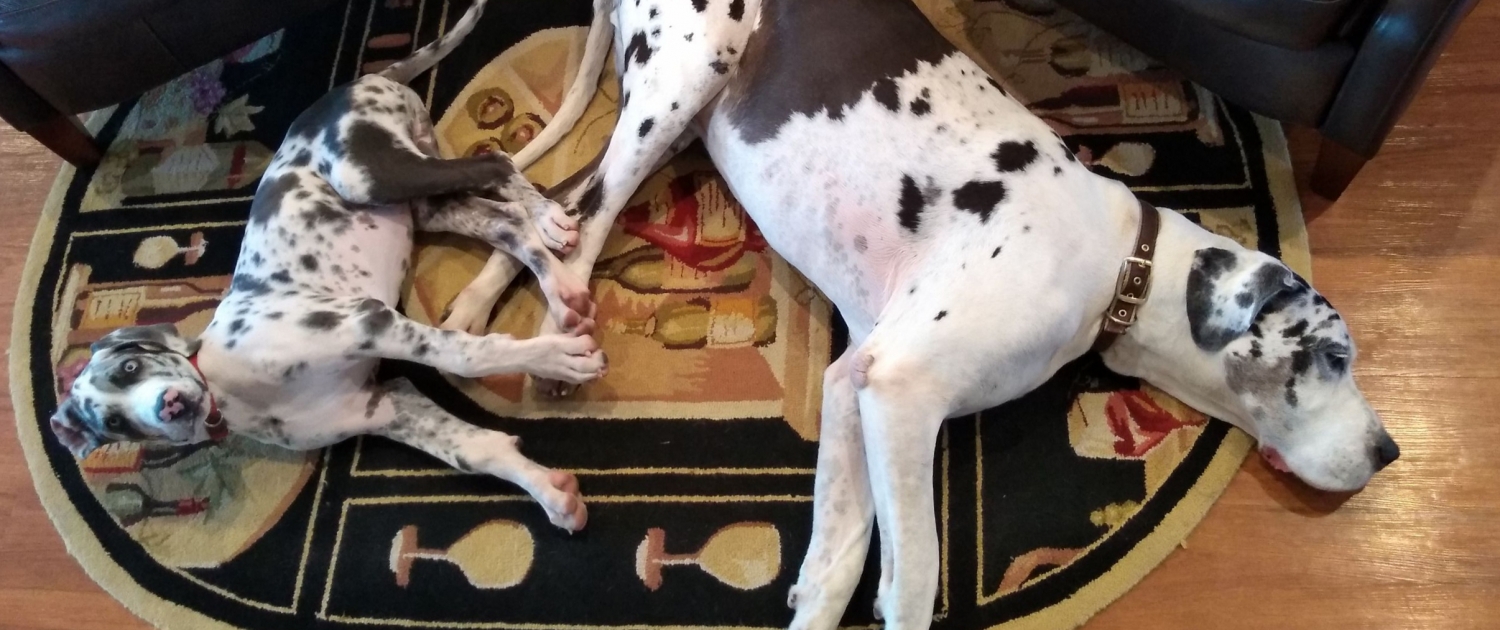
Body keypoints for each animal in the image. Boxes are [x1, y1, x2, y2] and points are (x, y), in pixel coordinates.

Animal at [51, 0, 603, 531]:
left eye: (129, 367)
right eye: (112, 424)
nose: (169, 404)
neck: (231, 384)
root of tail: (355, 82)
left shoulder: (369, 321)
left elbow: (466, 356)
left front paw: (560, 360)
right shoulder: (384, 405)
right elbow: (474, 449)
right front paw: (549, 492)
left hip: (372, 173)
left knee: (498, 164)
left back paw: (554, 233)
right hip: (422, 204)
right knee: (504, 220)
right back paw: (558, 281)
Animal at [444, 0, 1404, 624]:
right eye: (1332, 356)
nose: (1388, 453)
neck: (1115, 264)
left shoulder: (852, 384)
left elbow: (838, 560)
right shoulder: (902, 393)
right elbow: (913, 580)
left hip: (675, 124)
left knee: (555, 204)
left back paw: (472, 307)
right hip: (684, 79)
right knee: (584, 216)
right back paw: (556, 339)